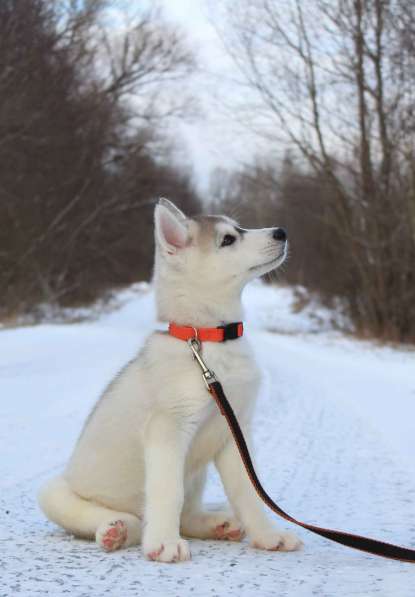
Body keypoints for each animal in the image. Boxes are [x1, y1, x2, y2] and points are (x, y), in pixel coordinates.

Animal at [38, 198, 302, 560]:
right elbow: (167, 491)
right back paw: (115, 530)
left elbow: (249, 492)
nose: (282, 232)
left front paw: (267, 535)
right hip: (52, 491)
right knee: (120, 518)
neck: (208, 340)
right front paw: (163, 542)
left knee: (187, 514)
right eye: (228, 239)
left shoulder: (234, 432)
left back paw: (217, 524)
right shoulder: (167, 429)